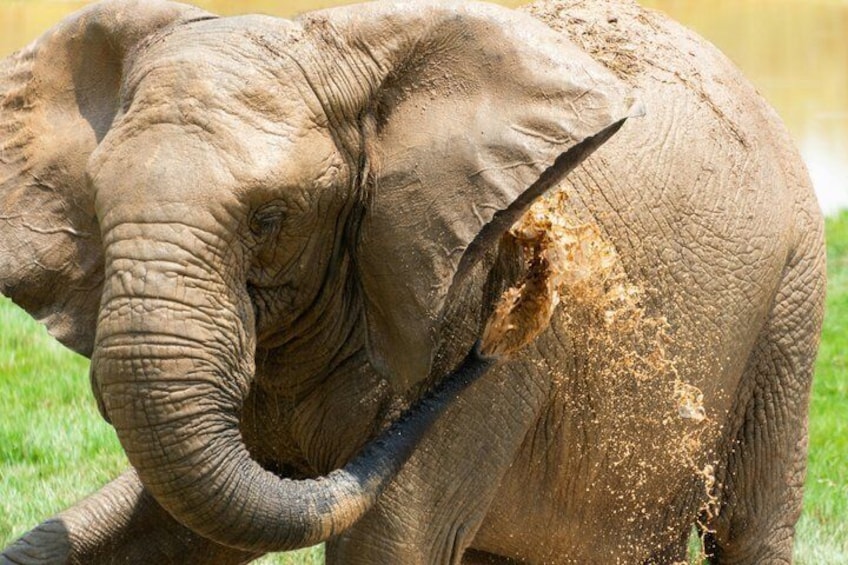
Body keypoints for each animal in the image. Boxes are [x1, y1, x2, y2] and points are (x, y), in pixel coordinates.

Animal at [0, 0, 825, 563]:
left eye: (271, 217)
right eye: (96, 202)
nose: (515, 315)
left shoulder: (472, 307)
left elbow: (388, 544)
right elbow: (174, 524)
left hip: (791, 297)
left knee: (749, 522)